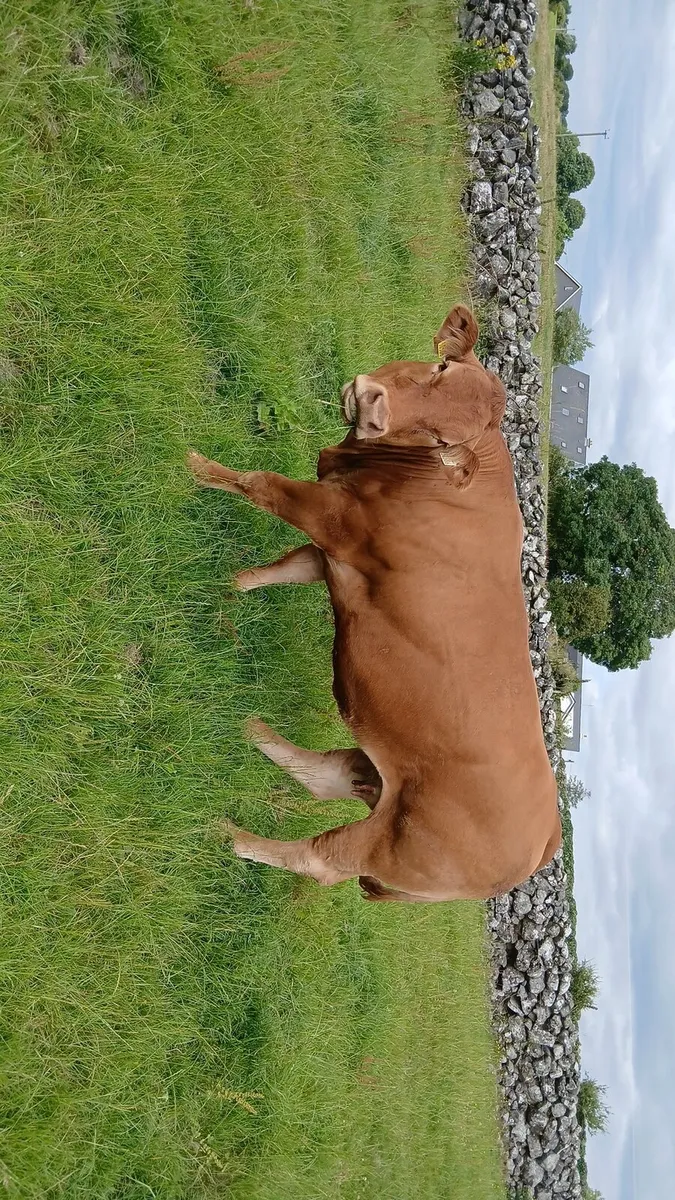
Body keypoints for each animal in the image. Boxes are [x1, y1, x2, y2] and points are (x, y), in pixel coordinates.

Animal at [187, 304, 561, 902]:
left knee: (320, 859)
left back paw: (228, 835)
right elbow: (285, 568)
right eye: (438, 367)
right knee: (329, 775)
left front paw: (195, 464)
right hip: (386, 783)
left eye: (439, 439)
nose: (373, 406)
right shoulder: (338, 556)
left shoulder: (334, 519)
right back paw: (249, 729)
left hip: (393, 846)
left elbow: (259, 483)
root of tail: (544, 845)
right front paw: (229, 588)